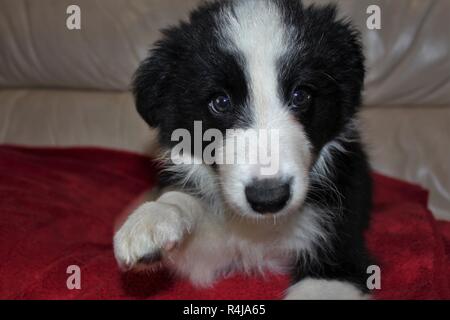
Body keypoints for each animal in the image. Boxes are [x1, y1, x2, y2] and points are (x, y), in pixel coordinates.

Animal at [114, 0, 374, 300]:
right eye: (220, 102)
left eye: (301, 95)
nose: (268, 197)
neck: (260, 226)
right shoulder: (211, 252)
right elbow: (183, 199)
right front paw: (153, 219)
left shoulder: (339, 254)